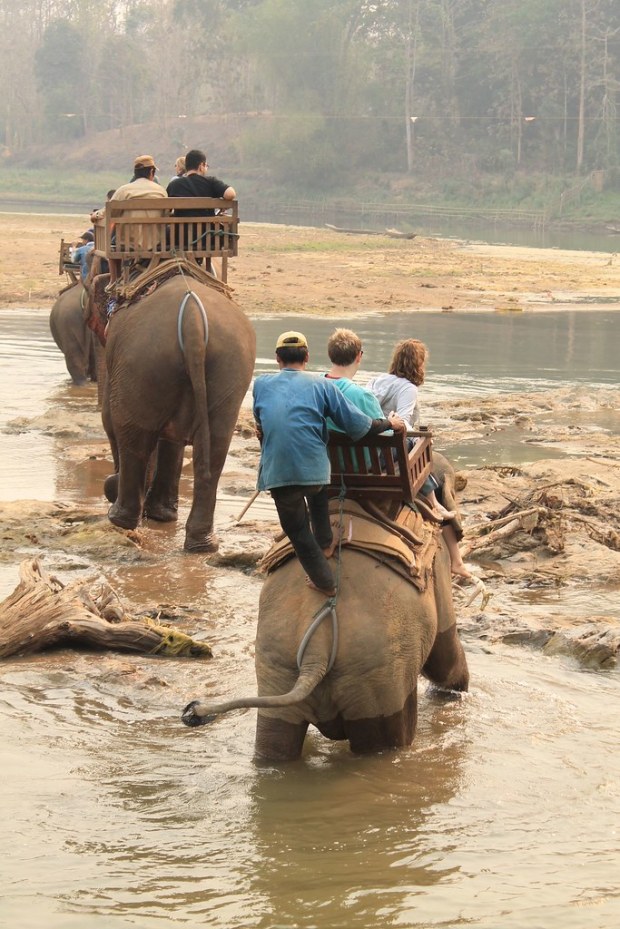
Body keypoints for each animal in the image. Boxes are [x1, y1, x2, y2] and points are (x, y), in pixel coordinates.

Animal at [101, 276, 254, 552]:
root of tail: (192, 318)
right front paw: (162, 515)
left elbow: (109, 418)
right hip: (231, 366)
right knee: (215, 447)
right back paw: (202, 545)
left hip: (141, 364)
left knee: (132, 433)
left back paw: (119, 519)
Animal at [182, 512, 468, 756]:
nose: (192, 710)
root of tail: (316, 651)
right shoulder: (438, 570)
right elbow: (443, 650)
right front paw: (457, 694)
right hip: (380, 675)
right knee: (383, 744)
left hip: (278, 668)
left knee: (274, 740)